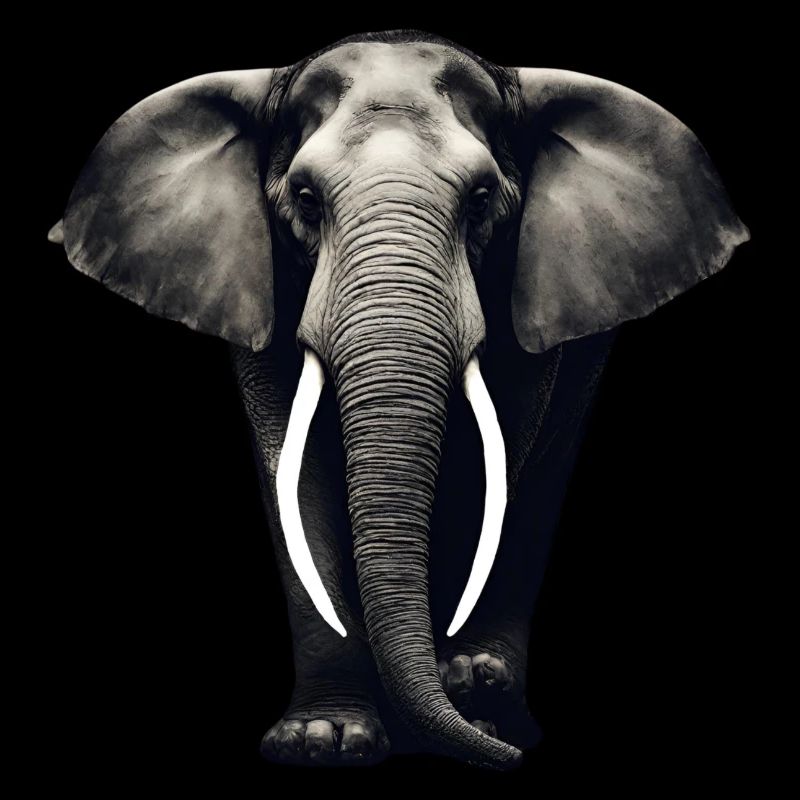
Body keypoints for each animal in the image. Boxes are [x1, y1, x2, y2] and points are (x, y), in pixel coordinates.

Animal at [48, 29, 748, 770]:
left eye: (480, 201)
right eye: (305, 199)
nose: (506, 758)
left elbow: (498, 457)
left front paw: (467, 690)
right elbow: (296, 474)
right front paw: (323, 742)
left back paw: (487, 693)